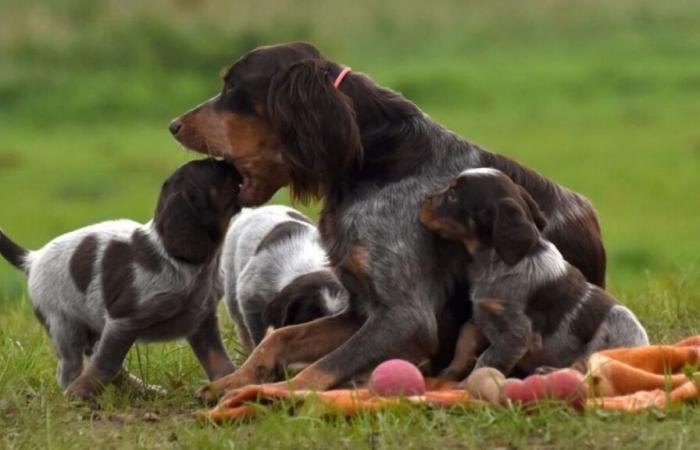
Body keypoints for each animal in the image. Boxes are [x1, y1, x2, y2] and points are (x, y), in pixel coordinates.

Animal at [0, 158, 243, 398]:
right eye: (215, 169)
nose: (232, 163)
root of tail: (32, 258)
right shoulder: (123, 322)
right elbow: (105, 365)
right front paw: (78, 395)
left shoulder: (202, 322)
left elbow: (220, 363)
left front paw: (227, 386)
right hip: (65, 327)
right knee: (70, 370)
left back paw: (143, 389)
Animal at [418, 167, 648, 378]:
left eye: (453, 195)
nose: (423, 198)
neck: (495, 261)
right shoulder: (480, 314)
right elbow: (464, 343)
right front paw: (448, 375)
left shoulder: (516, 333)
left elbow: (487, 359)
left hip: (617, 322)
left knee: (585, 368)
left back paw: (548, 371)